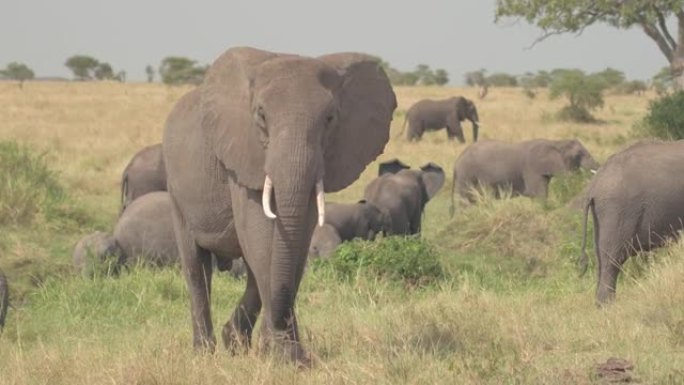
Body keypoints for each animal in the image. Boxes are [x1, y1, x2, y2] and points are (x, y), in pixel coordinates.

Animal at [162, 46, 396, 364]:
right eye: (261, 115)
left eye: (330, 118)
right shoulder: (242, 151)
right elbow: (259, 235)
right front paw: (284, 356)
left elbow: (295, 243)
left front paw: (280, 354)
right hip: (176, 191)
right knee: (196, 268)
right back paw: (205, 354)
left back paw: (234, 342)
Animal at [454, 138, 600, 210]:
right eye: (578, 155)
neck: (556, 142)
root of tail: (457, 162)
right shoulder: (532, 167)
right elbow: (538, 194)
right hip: (466, 174)